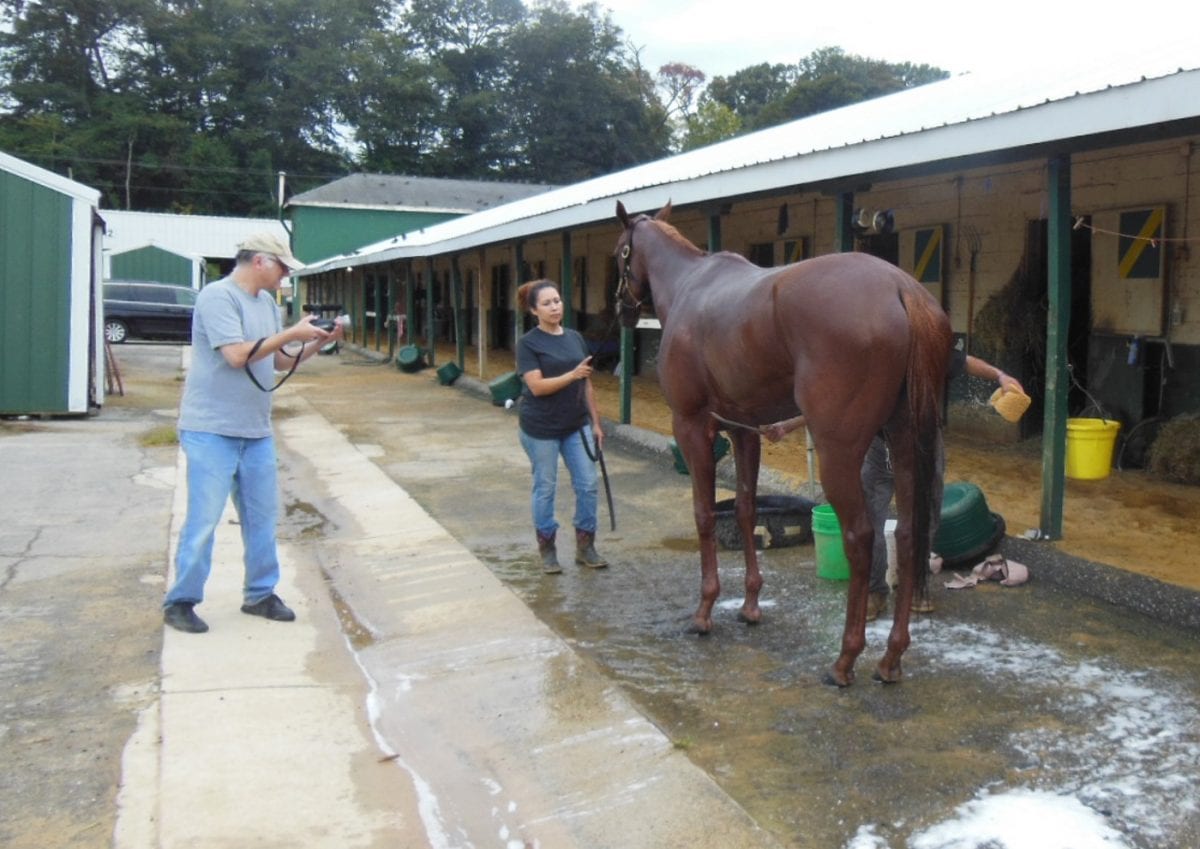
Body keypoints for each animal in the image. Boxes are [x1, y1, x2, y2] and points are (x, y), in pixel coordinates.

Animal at [614, 202, 950, 685]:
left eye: (619, 253)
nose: (621, 307)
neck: (688, 285)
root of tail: (901, 289)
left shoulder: (692, 426)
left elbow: (703, 514)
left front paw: (705, 610)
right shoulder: (743, 430)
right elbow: (744, 508)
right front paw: (751, 605)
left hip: (838, 453)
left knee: (861, 537)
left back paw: (845, 659)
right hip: (905, 444)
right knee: (906, 536)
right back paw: (890, 658)